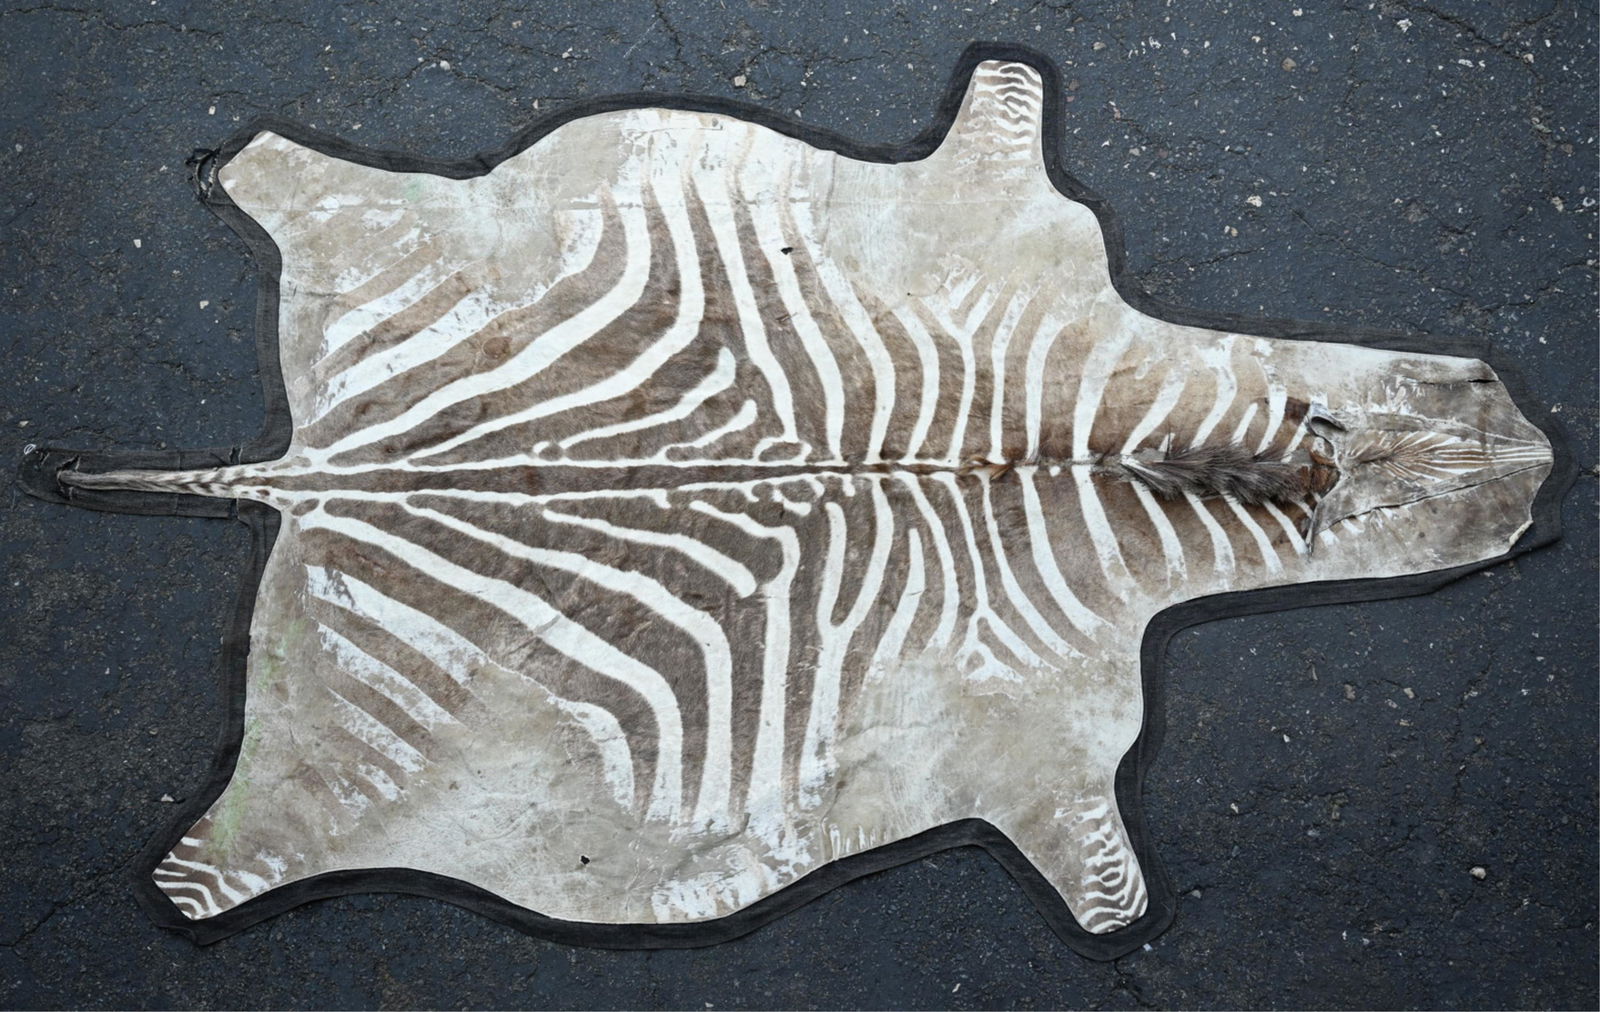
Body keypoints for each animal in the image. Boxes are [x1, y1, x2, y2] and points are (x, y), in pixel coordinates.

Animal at [39, 56, 1552, 946]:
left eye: (1486, 381)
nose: (1542, 455)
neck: (1101, 452)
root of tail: (318, 469)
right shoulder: (1050, 731)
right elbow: (1096, 859)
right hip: (383, 736)